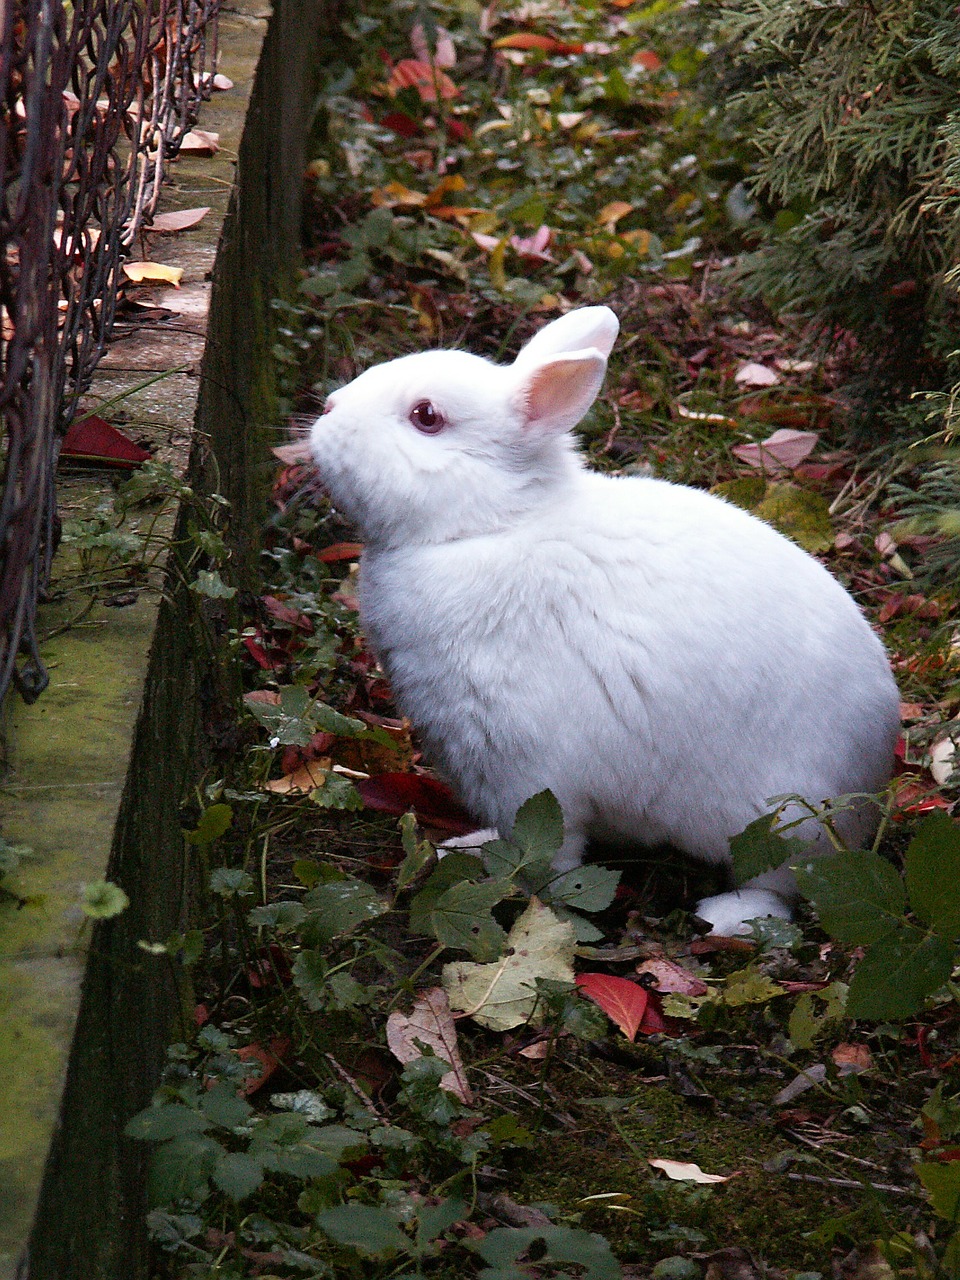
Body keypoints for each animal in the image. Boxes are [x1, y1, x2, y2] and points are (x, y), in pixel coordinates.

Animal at [305, 306, 900, 935]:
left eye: (427, 417)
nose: (329, 408)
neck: (490, 527)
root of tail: (870, 790)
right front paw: (465, 849)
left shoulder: (525, 769)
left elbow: (547, 850)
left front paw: (525, 900)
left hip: (781, 821)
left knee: (782, 885)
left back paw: (727, 916)